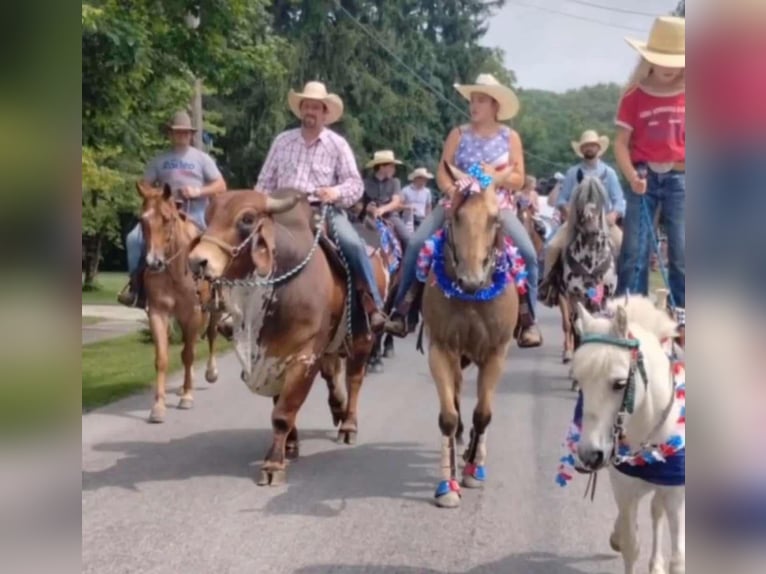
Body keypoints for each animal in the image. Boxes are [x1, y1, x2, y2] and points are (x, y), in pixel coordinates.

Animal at [136, 182, 222, 426]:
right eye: (142, 219)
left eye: (167, 219)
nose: (154, 262)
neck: (174, 271)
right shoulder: (158, 312)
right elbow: (163, 358)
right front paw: (158, 407)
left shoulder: (193, 313)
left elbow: (189, 354)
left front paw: (187, 397)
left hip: (212, 309)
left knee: (210, 335)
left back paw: (210, 373)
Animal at [187, 189, 390, 486]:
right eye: (209, 216)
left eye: (247, 219)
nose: (197, 261)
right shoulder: (272, 358)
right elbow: (280, 403)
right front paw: (290, 446)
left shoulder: (303, 356)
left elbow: (283, 412)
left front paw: (273, 463)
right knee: (332, 373)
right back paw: (337, 408)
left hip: (363, 337)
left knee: (354, 378)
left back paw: (349, 424)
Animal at [416, 162, 524, 508]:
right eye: (456, 217)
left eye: (495, 218)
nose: (471, 281)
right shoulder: (441, 349)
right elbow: (448, 416)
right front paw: (447, 485)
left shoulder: (496, 353)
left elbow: (483, 414)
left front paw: (473, 469)